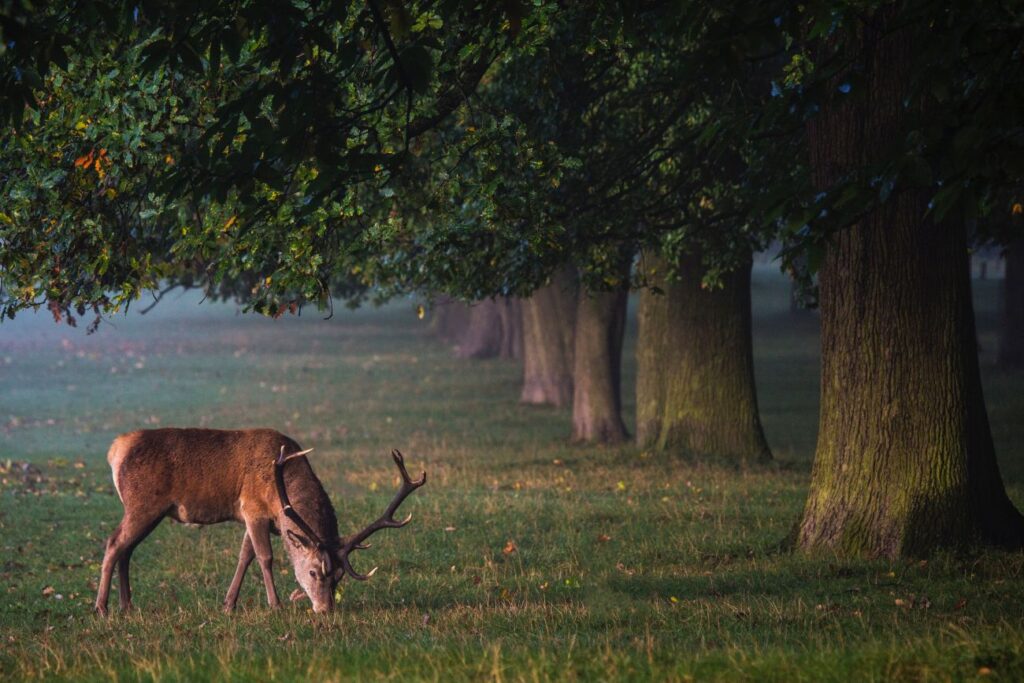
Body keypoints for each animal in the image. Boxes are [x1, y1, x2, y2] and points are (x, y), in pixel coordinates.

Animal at [95, 428, 423, 614]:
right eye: (314, 572)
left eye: (339, 576)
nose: (325, 609)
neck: (280, 493)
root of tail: (115, 450)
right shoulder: (252, 508)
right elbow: (265, 557)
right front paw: (275, 605)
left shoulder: (255, 518)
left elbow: (245, 556)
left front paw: (228, 605)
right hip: (142, 503)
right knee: (114, 542)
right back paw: (102, 607)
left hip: (149, 511)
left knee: (127, 549)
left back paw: (126, 605)